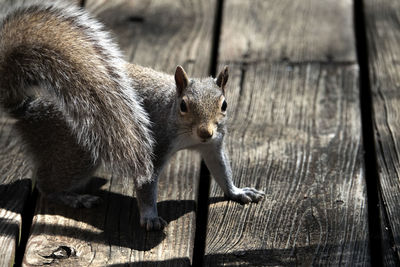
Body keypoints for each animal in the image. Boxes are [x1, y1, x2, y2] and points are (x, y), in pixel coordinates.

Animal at [0, 0, 266, 231]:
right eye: (183, 105)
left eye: (224, 105)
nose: (205, 132)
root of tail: (30, 110)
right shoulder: (153, 145)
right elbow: (146, 185)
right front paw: (150, 217)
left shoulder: (213, 145)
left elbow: (221, 169)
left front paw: (238, 192)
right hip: (77, 150)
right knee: (47, 185)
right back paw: (74, 198)